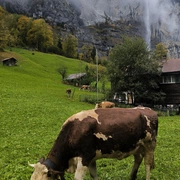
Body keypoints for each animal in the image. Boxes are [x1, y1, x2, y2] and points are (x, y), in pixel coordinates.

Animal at [29, 107, 158, 179]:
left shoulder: (85, 158)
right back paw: (131, 177)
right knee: (138, 159)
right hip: (137, 146)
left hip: (150, 145)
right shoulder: (91, 158)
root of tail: (147, 109)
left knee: (147, 165)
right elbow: (94, 175)